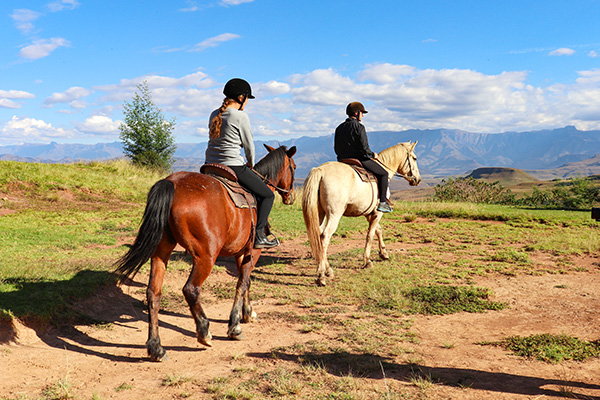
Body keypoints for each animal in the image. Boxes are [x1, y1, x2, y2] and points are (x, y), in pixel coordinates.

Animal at [114, 144, 297, 361]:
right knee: (191, 289)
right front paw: (235, 326)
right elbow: (242, 283)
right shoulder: (254, 250)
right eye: (294, 167)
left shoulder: (241, 252)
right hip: (206, 257)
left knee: (153, 293)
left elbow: (246, 282)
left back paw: (156, 347)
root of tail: (172, 183)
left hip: (161, 252)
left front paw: (248, 313)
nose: (290, 196)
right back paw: (204, 332)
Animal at [302, 141, 420, 286]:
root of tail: (320, 171)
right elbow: (370, 235)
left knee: (318, 236)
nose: (417, 179)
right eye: (414, 158)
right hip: (334, 214)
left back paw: (328, 270)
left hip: (320, 213)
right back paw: (321, 276)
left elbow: (378, 230)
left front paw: (384, 253)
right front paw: (367, 261)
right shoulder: (378, 212)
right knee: (325, 237)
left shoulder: (369, 213)